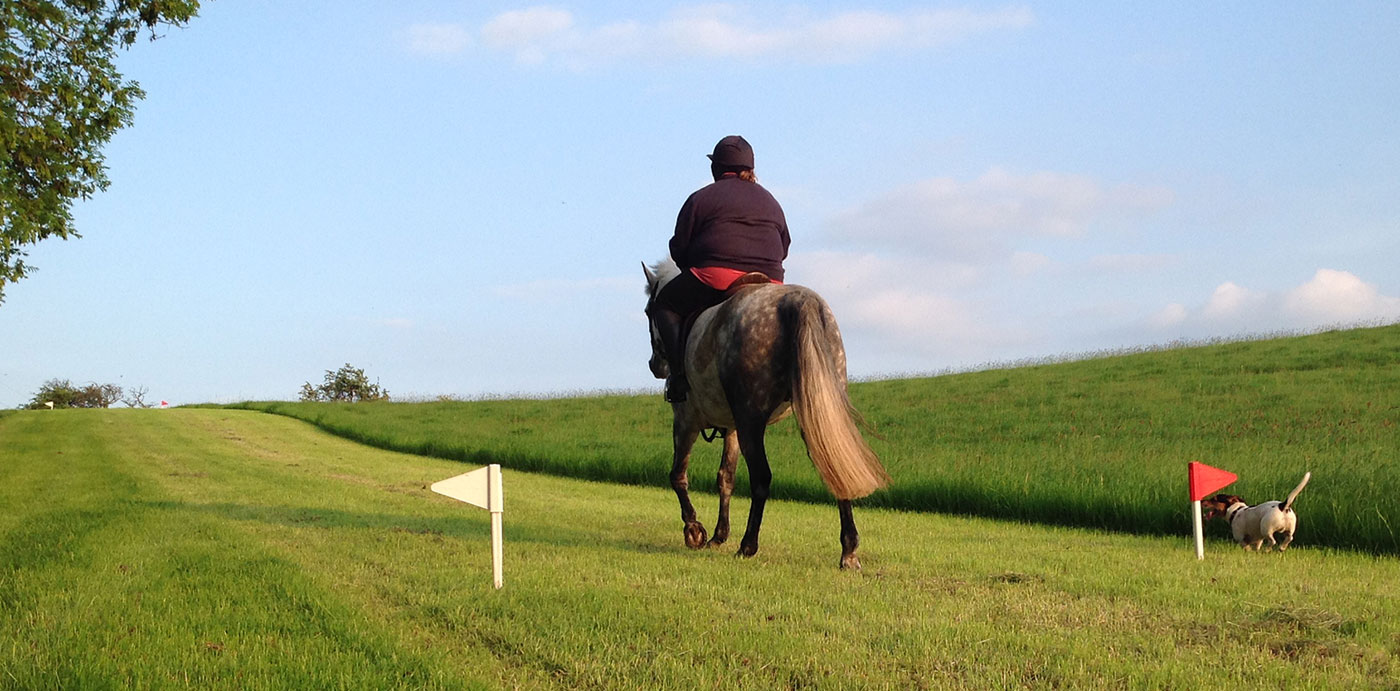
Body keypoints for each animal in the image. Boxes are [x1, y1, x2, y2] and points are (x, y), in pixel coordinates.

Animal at [641, 258, 890, 567]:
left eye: (648, 311)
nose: (655, 366)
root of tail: (797, 300)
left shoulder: (687, 421)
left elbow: (678, 475)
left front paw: (694, 530)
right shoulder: (733, 428)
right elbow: (725, 478)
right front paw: (718, 535)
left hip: (752, 422)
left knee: (761, 477)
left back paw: (748, 545)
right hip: (815, 412)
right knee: (836, 464)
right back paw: (849, 550)